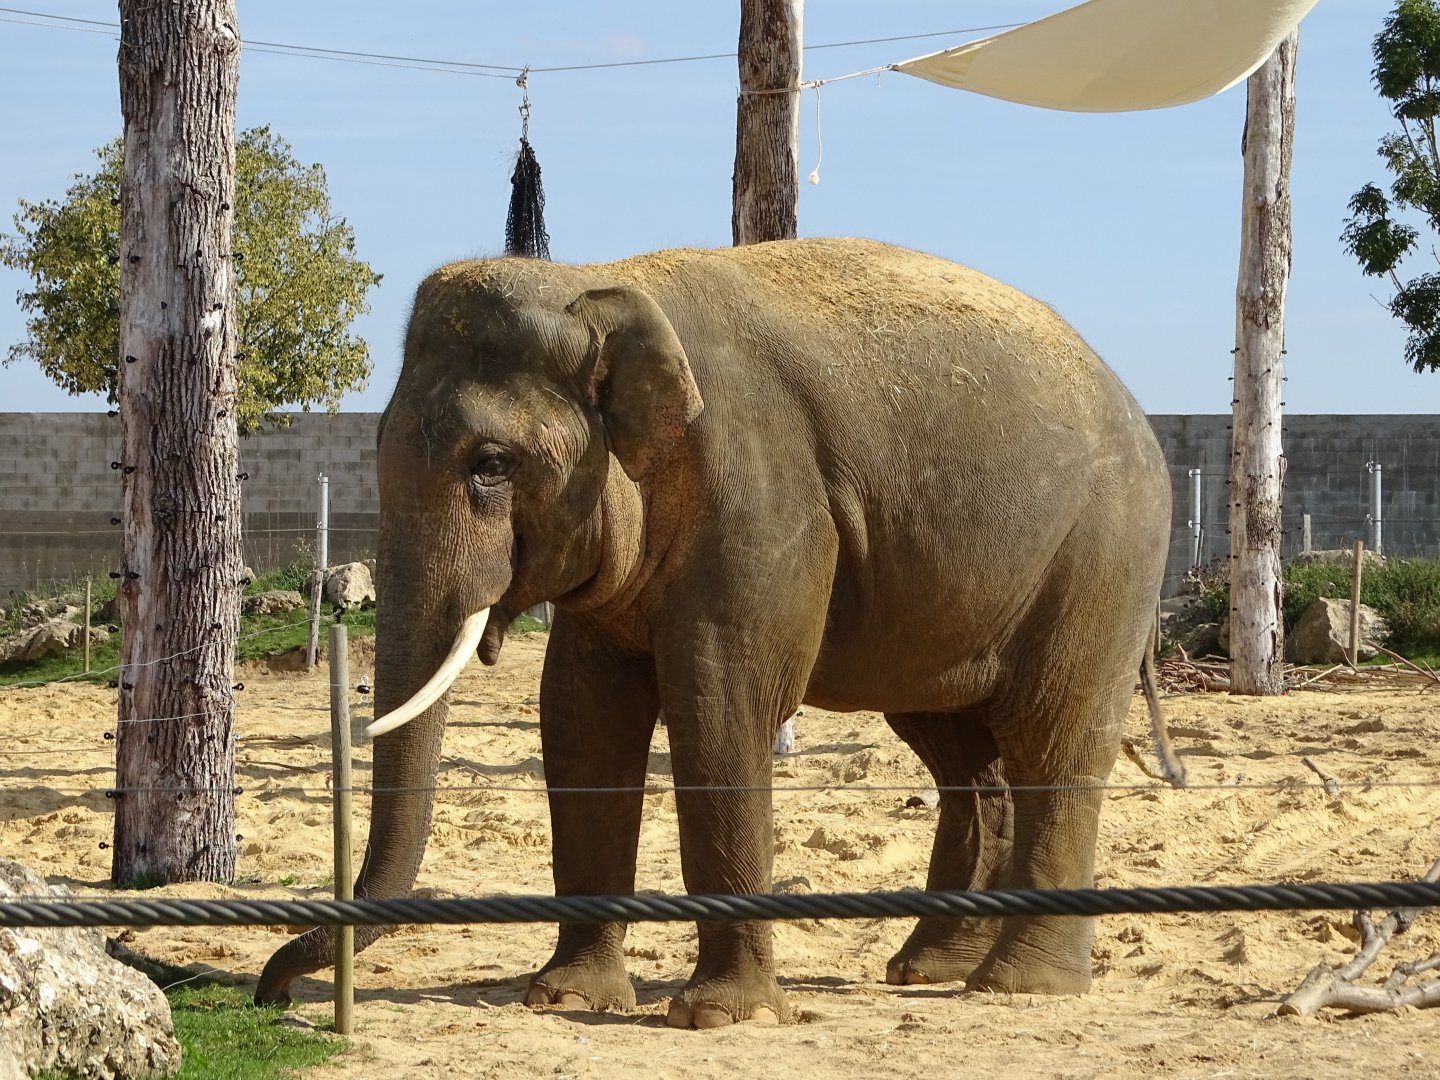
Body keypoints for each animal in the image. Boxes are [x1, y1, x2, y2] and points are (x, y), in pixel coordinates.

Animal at [255, 237, 1173, 1028]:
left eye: (490, 464)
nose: (272, 992)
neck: (601, 282)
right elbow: (581, 716)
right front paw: (564, 998)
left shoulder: (763, 499)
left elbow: (721, 703)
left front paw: (717, 1017)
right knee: (958, 753)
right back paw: (928, 970)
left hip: (1105, 557)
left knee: (1053, 739)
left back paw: (1020, 985)